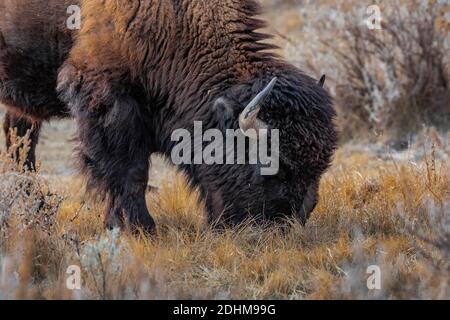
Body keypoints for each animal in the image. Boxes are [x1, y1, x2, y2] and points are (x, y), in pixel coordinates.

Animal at [0, 0, 338, 231]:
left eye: (320, 167)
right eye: (272, 167)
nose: (289, 223)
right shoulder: (106, 99)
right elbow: (128, 171)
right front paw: (137, 228)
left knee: (20, 148)